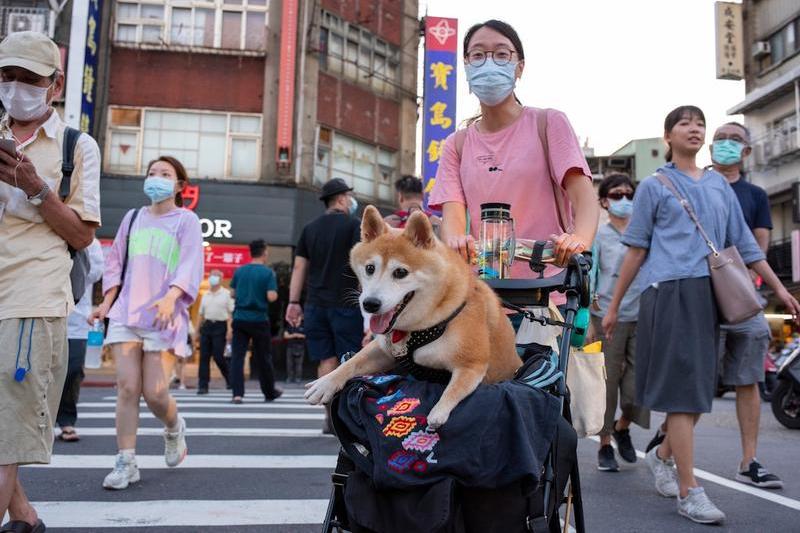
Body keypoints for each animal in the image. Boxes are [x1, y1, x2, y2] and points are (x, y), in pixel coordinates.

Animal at [304, 204, 520, 428]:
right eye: (370, 268)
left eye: (400, 272)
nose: (370, 304)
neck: (420, 325)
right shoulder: (383, 350)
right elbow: (351, 362)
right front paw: (325, 383)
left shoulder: (472, 363)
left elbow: (455, 388)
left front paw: (439, 411)